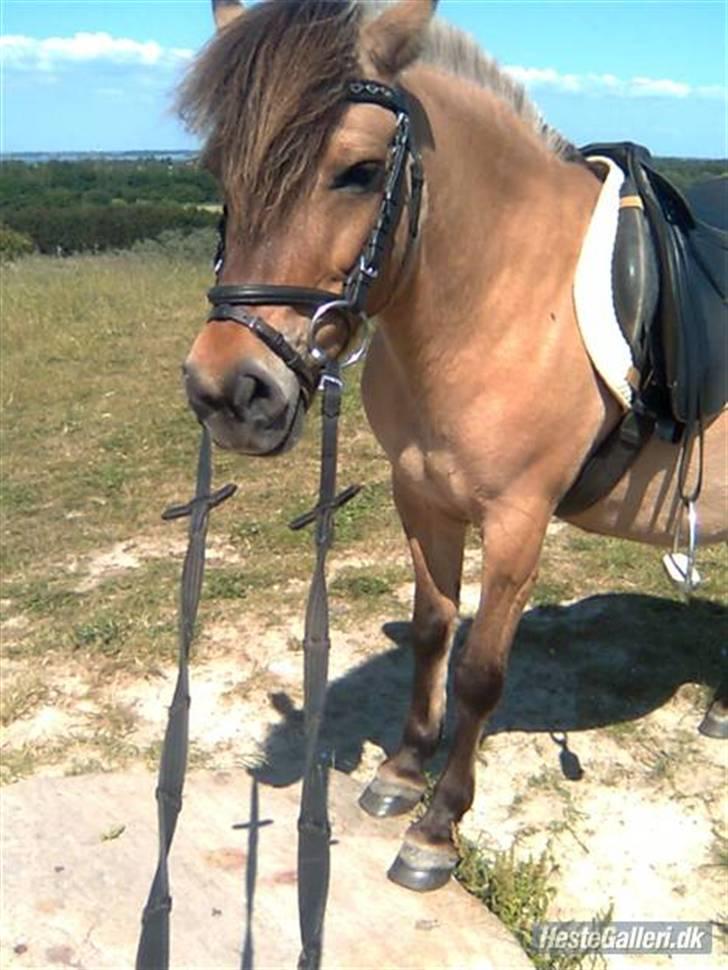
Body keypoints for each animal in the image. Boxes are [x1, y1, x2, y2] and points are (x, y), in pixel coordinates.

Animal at [179, 0, 727, 892]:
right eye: (219, 167)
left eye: (360, 170)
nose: (229, 391)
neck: (505, 299)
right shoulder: (422, 497)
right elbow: (433, 628)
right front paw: (402, 772)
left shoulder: (516, 523)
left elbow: (479, 672)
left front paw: (437, 827)